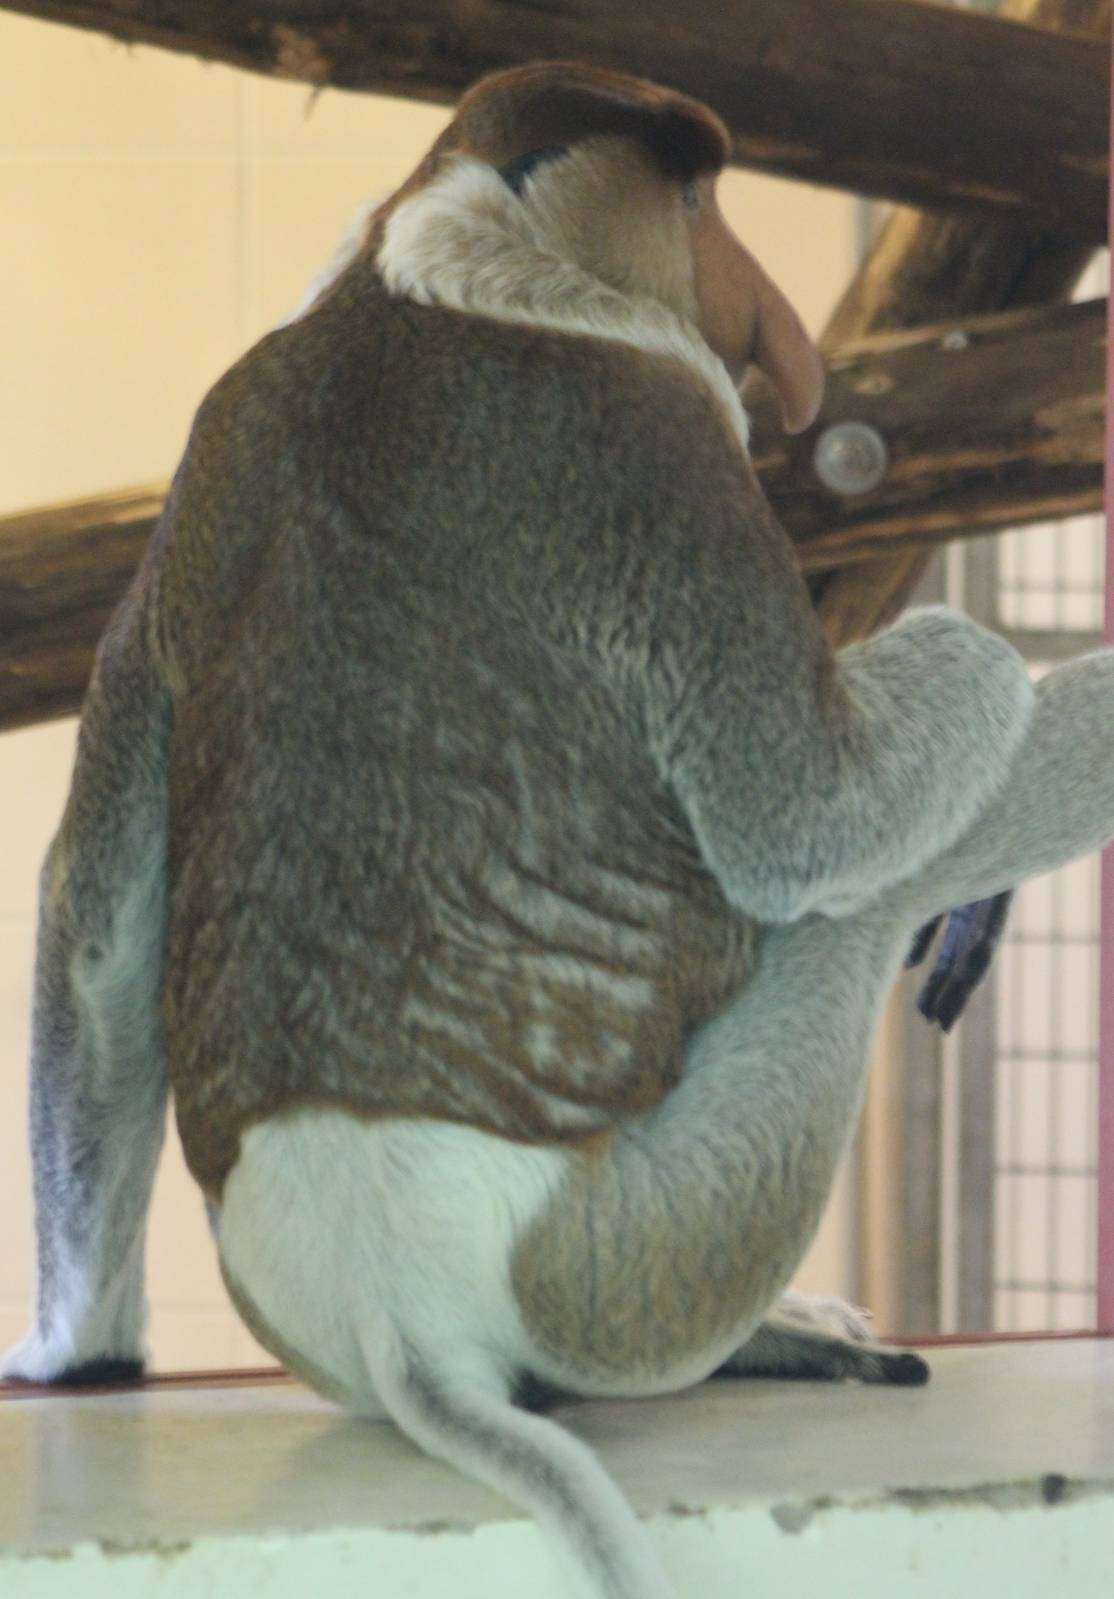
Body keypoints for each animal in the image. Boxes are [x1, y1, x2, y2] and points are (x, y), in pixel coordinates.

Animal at [5, 60, 1114, 1599]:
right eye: (697, 201)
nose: (767, 327)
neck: (435, 270)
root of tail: (394, 1304)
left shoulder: (208, 456)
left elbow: (92, 916)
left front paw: (67, 1354)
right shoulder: (661, 436)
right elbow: (804, 819)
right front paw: (979, 664)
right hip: (640, 1238)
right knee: (849, 907)